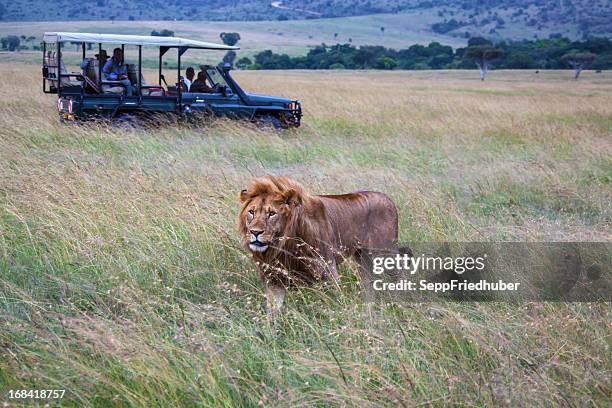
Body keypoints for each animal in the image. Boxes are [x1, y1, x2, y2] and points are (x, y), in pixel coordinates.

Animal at [237, 175, 400, 318]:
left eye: (271, 213)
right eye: (251, 212)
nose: (255, 232)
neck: (284, 247)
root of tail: (389, 199)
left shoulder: (328, 271)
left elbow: (335, 304)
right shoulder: (274, 279)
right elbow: (273, 311)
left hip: (385, 253)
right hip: (362, 258)